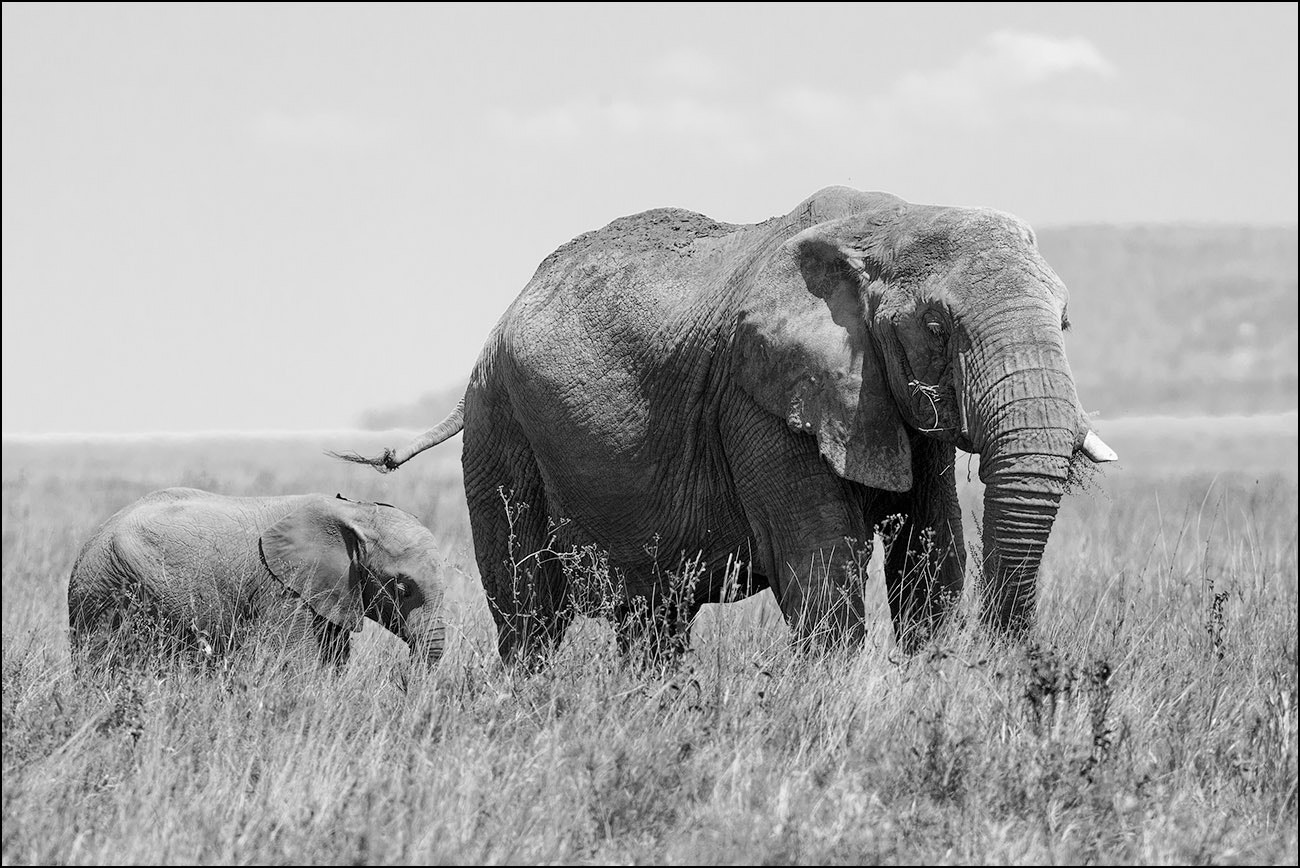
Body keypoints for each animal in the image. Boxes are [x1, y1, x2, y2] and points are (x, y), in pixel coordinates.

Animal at [68, 491, 449, 670]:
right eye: (402, 588)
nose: (403, 677)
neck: (355, 511)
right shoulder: (282, 589)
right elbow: (297, 661)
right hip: (105, 589)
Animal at [345, 188, 1118, 657]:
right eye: (937, 327)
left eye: (1066, 322)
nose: (1009, 660)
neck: (895, 220)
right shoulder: (759, 399)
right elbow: (821, 569)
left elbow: (931, 560)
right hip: (500, 430)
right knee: (531, 615)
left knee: (651, 621)